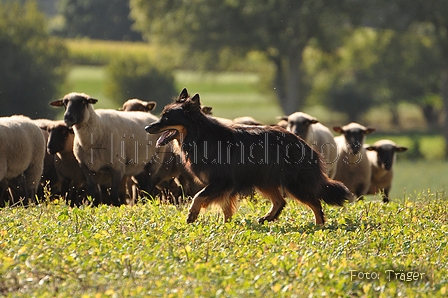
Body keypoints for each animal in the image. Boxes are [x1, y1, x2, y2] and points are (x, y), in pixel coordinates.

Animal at [145, 89, 352, 225]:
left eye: (166, 117)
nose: (147, 128)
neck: (200, 135)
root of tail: (306, 146)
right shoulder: (226, 186)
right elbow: (225, 207)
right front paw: (227, 225)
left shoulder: (222, 181)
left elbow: (198, 196)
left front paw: (192, 215)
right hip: (264, 180)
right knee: (281, 201)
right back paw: (268, 218)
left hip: (294, 183)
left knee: (315, 203)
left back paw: (319, 226)